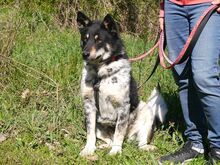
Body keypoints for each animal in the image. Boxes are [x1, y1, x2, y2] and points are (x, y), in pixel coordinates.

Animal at [76, 11, 168, 156]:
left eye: (99, 40)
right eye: (85, 39)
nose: (84, 54)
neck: (100, 73)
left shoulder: (123, 107)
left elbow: (119, 132)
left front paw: (115, 152)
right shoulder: (89, 106)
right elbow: (90, 133)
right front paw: (88, 149)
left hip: (146, 111)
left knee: (138, 142)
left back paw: (146, 147)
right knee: (109, 139)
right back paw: (104, 146)